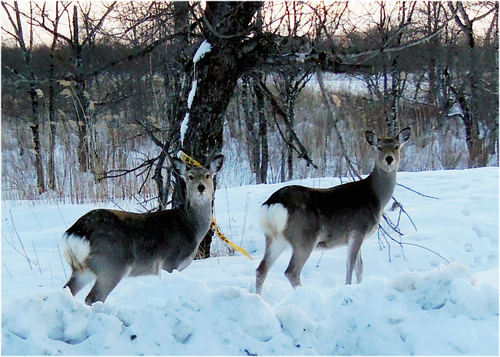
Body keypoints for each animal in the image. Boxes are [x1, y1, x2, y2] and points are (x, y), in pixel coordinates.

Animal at [61, 153, 224, 304]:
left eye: (207, 175)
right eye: (190, 176)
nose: (201, 187)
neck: (191, 227)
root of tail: (74, 233)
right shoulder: (169, 261)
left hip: (82, 269)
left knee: (66, 290)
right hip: (111, 264)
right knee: (93, 298)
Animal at [256, 126, 412, 294]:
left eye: (396, 146)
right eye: (379, 147)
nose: (389, 159)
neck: (375, 197)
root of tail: (272, 204)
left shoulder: (356, 236)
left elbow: (360, 267)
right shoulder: (358, 230)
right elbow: (350, 266)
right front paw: (348, 287)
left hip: (274, 238)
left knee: (261, 269)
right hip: (304, 237)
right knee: (291, 271)